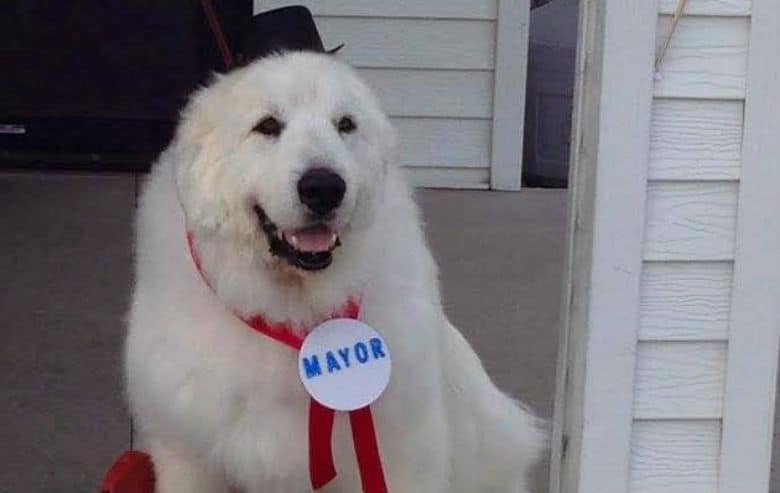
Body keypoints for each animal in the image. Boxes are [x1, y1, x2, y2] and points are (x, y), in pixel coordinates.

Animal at [125, 51, 544, 492]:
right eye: (267, 126)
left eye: (345, 124)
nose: (324, 187)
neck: (292, 311)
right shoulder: (188, 457)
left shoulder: (402, 457)